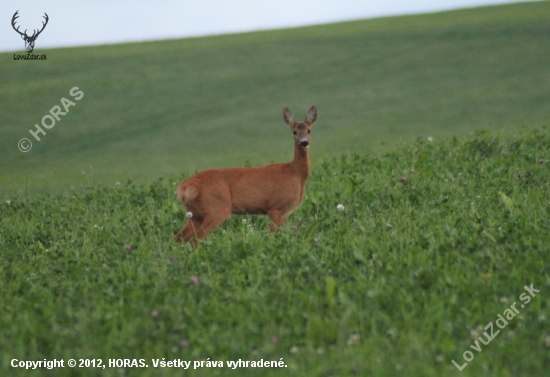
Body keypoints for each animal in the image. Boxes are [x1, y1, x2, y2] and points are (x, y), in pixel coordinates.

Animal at [175, 106, 316, 247]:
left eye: (309, 130)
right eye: (294, 132)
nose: (304, 143)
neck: (295, 173)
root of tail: (187, 186)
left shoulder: (284, 212)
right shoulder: (276, 207)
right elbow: (273, 236)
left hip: (195, 213)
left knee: (179, 237)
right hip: (216, 208)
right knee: (196, 238)